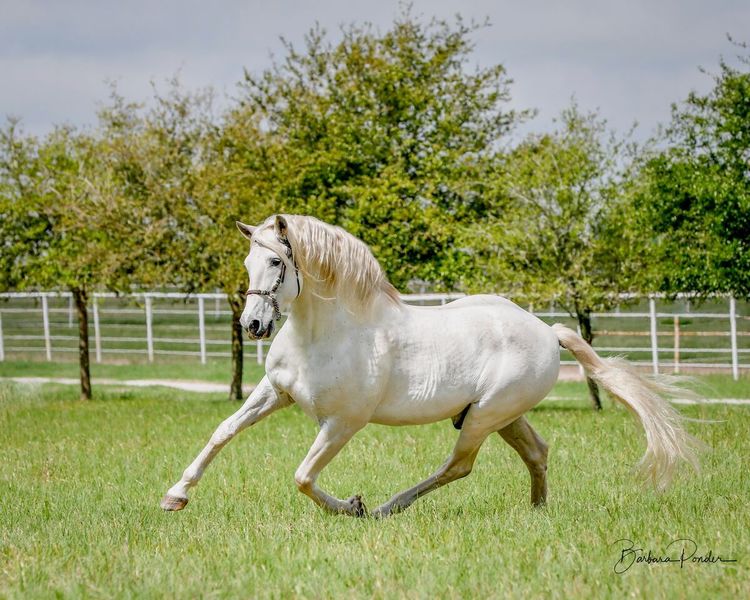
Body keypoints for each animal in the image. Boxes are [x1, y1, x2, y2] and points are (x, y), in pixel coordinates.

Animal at [161, 214, 701, 518]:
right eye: (248, 263)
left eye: (277, 263)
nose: (253, 324)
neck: (328, 333)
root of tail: (547, 331)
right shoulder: (276, 392)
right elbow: (223, 432)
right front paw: (175, 496)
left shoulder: (342, 424)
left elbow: (303, 477)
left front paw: (352, 507)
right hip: (501, 416)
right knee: (537, 452)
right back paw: (536, 512)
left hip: (483, 418)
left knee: (458, 466)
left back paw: (385, 508)